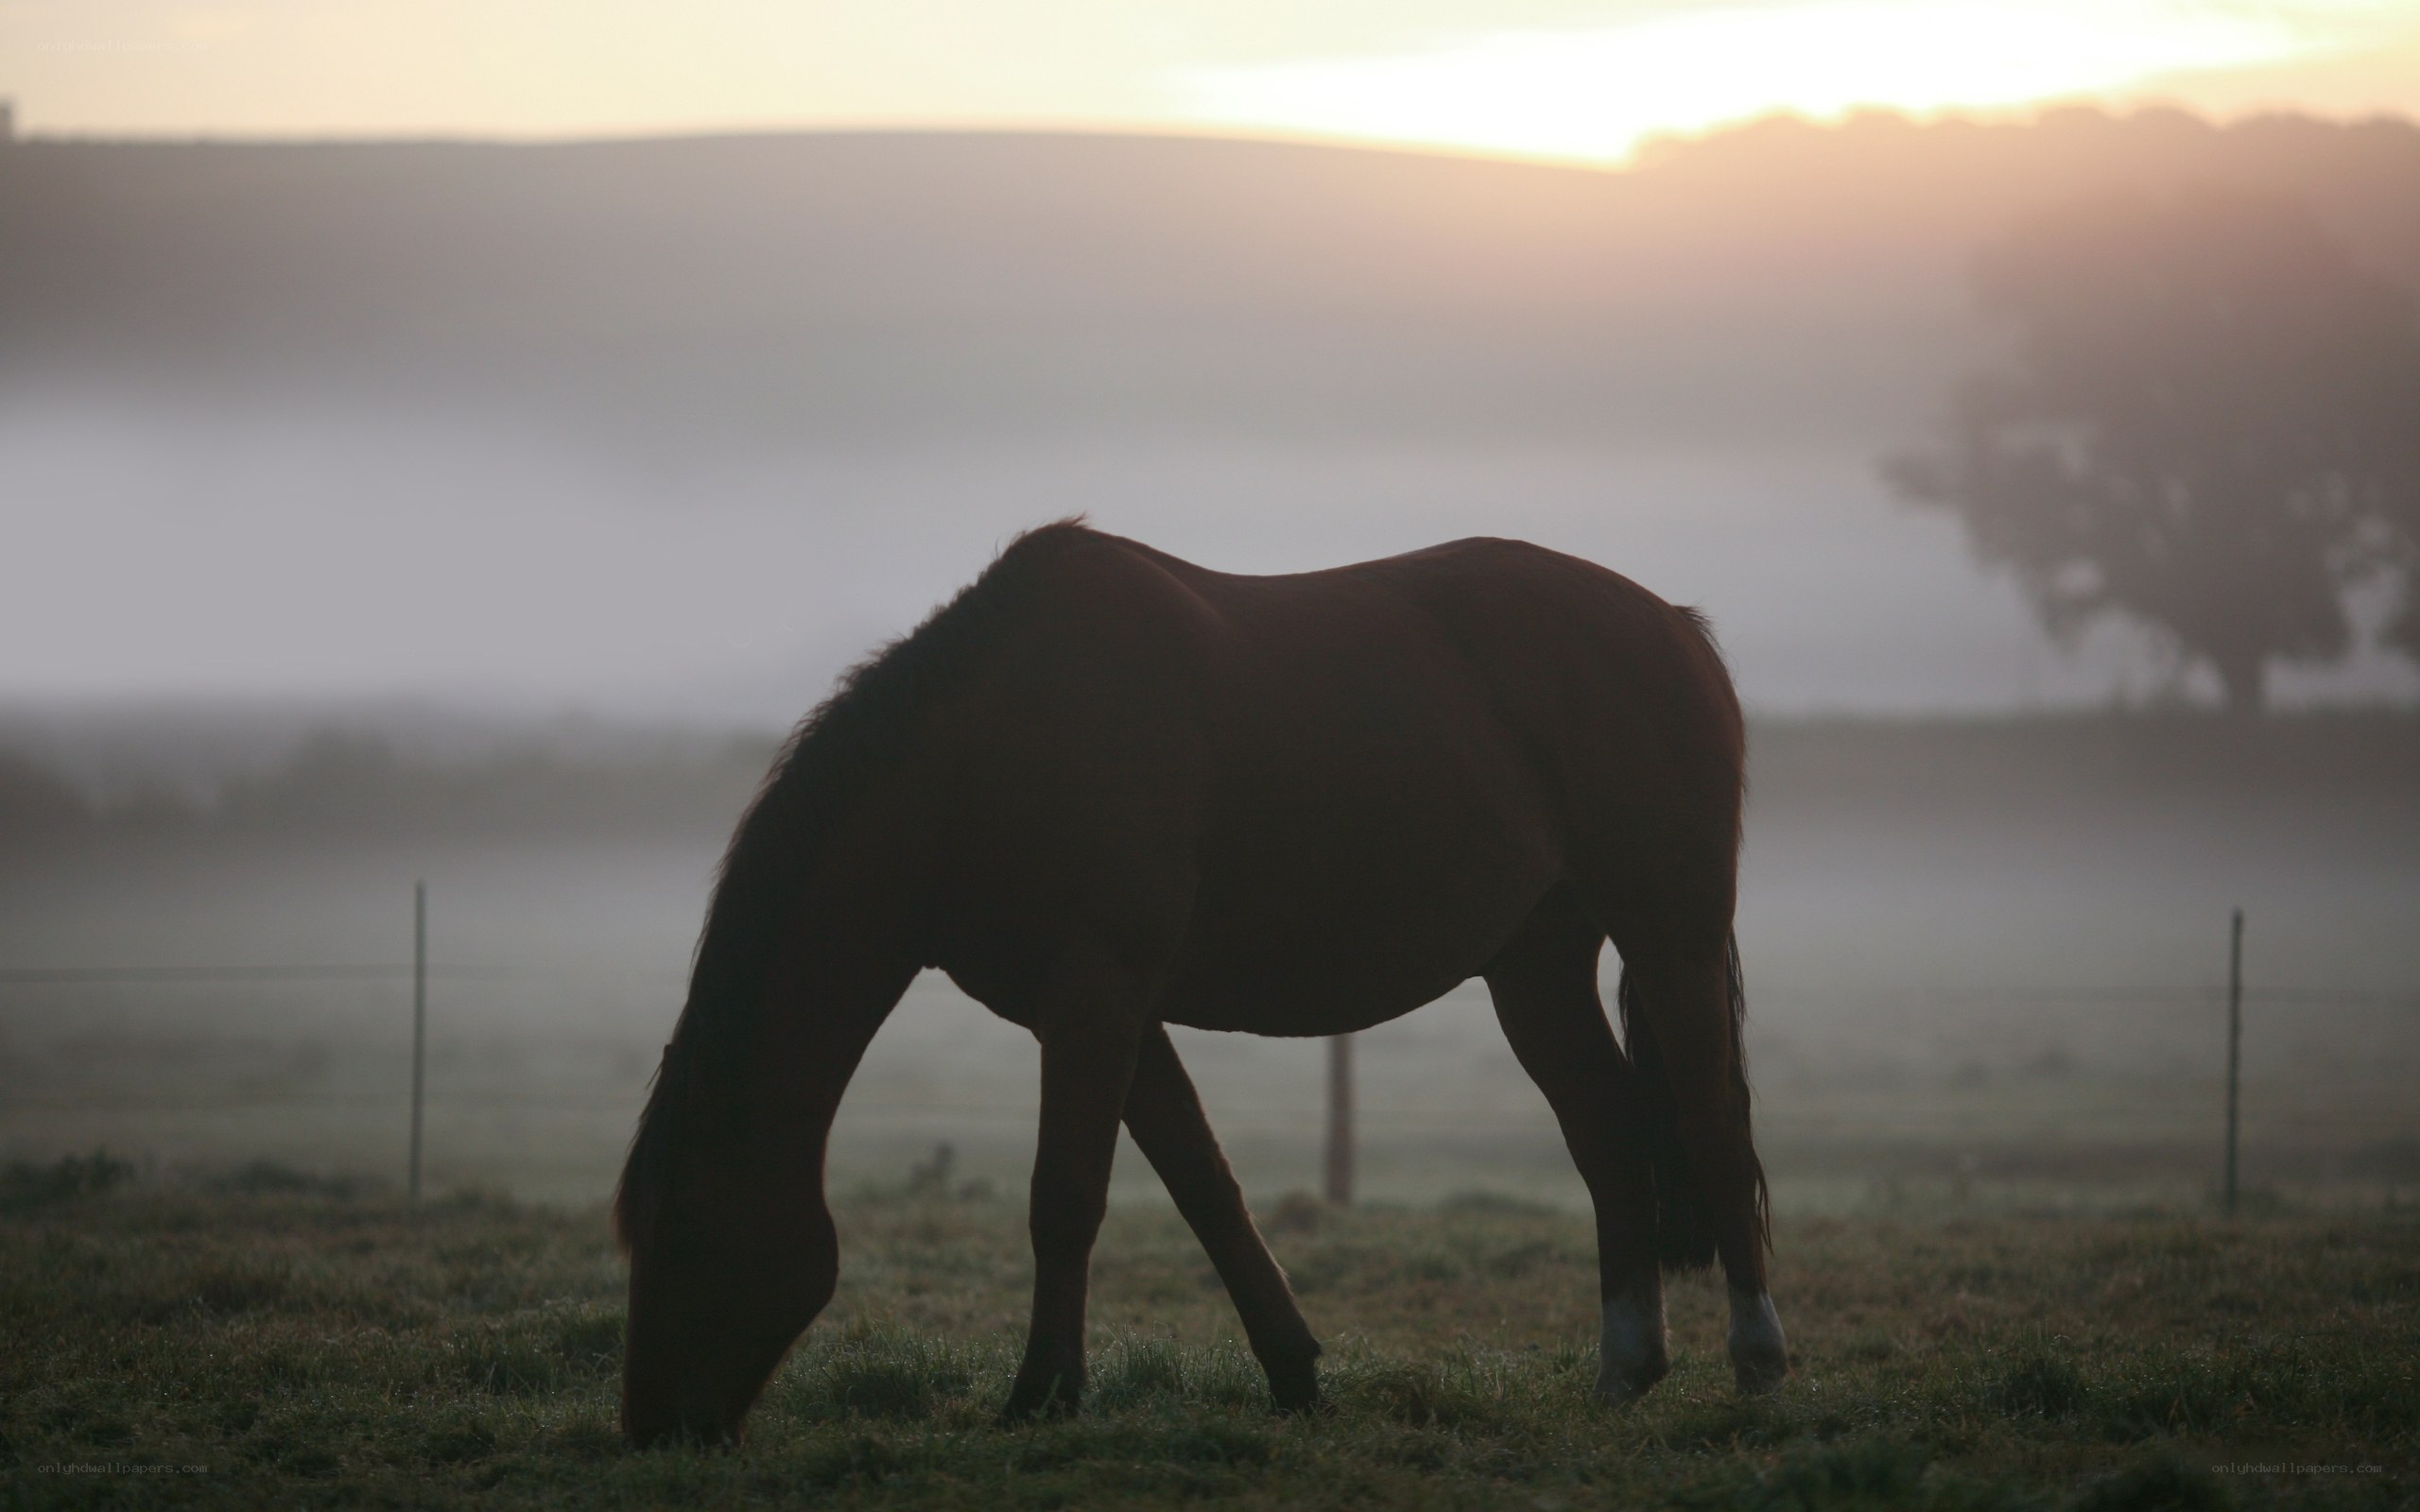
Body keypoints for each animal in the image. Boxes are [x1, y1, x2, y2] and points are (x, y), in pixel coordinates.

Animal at [614, 521, 1786, 1446]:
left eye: (679, 1232)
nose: (649, 1428)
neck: (987, 752)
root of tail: (1672, 626)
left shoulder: (1096, 992)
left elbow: (1064, 1198)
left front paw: (1040, 1396)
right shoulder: (1104, 1010)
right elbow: (1204, 1187)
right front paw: (1294, 1373)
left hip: (1670, 938)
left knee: (1714, 1128)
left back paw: (1759, 1364)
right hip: (1533, 966)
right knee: (1606, 1135)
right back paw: (1625, 1368)